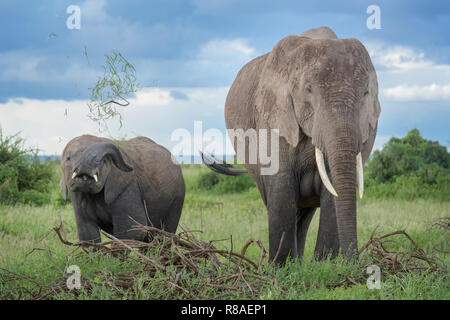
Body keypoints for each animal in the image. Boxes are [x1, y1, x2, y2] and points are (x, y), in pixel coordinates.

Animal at [204, 26, 380, 262]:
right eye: (308, 90)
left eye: (365, 93)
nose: (354, 262)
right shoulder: (273, 114)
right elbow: (282, 186)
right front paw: (280, 267)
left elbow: (332, 191)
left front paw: (325, 265)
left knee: (304, 216)